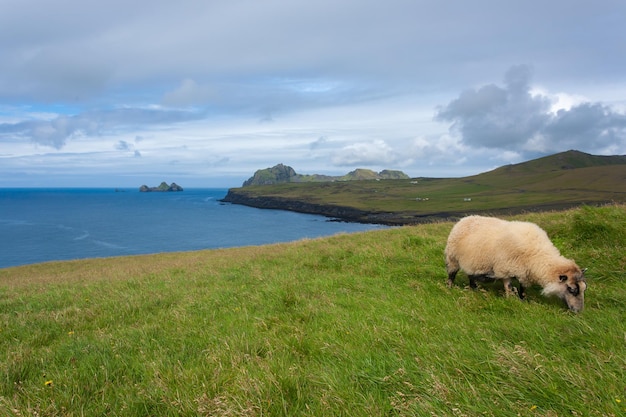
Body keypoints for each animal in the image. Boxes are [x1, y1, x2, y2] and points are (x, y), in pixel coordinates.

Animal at [444, 216, 584, 310]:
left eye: (583, 289)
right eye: (571, 289)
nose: (579, 311)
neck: (537, 254)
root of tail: (463, 219)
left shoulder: (524, 272)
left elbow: (522, 289)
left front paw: (523, 300)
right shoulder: (505, 269)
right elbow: (509, 287)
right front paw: (510, 300)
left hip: (473, 263)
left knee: (471, 277)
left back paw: (475, 290)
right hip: (453, 258)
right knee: (452, 275)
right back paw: (450, 288)